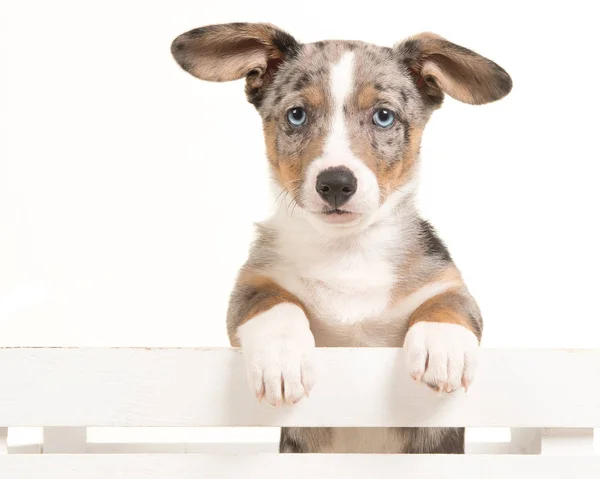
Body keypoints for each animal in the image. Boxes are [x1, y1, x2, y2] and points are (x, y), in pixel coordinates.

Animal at [172, 23, 510, 458]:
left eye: (383, 116)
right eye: (297, 115)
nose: (335, 183)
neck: (347, 251)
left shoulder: (448, 283)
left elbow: (446, 305)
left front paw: (443, 348)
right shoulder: (251, 283)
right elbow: (273, 302)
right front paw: (281, 359)